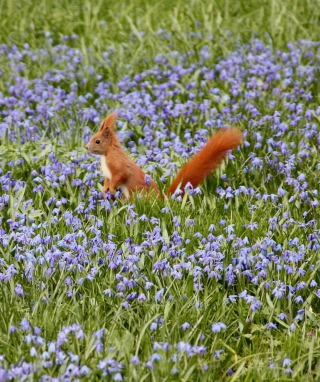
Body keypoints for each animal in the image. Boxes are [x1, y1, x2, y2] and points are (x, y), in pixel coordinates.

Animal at [85, 111, 242, 198]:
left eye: (97, 141)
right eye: (92, 137)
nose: (86, 147)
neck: (106, 155)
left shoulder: (118, 166)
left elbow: (120, 176)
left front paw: (111, 190)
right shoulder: (108, 174)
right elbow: (107, 181)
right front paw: (105, 190)